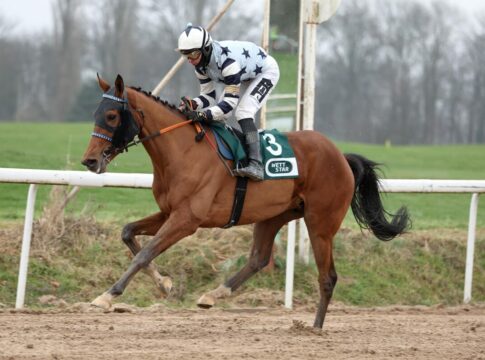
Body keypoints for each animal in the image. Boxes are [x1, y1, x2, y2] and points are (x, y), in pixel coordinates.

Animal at [80, 74, 408, 328]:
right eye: (96, 113)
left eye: (112, 116)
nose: (90, 160)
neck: (181, 151)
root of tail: (341, 156)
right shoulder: (169, 212)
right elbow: (128, 234)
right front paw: (164, 283)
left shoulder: (187, 219)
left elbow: (145, 253)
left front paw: (107, 295)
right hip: (274, 215)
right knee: (258, 259)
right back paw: (214, 295)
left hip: (321, 224)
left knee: (327, 276)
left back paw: (314, 327)